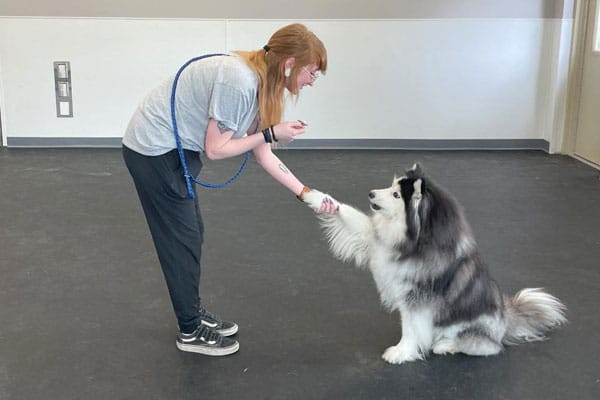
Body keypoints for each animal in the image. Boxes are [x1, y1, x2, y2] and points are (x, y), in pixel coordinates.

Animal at [304, 164, 568, 364]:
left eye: (396, 195)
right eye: (391, 185)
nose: (370, 193)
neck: (415, 240)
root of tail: (506, 319)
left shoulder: (417, 297)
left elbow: (410, 328)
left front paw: (401, 352)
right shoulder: (375, 240)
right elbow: (348, 213)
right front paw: (316, 197)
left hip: (475, 328)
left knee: (485, 346)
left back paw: (447, 345)